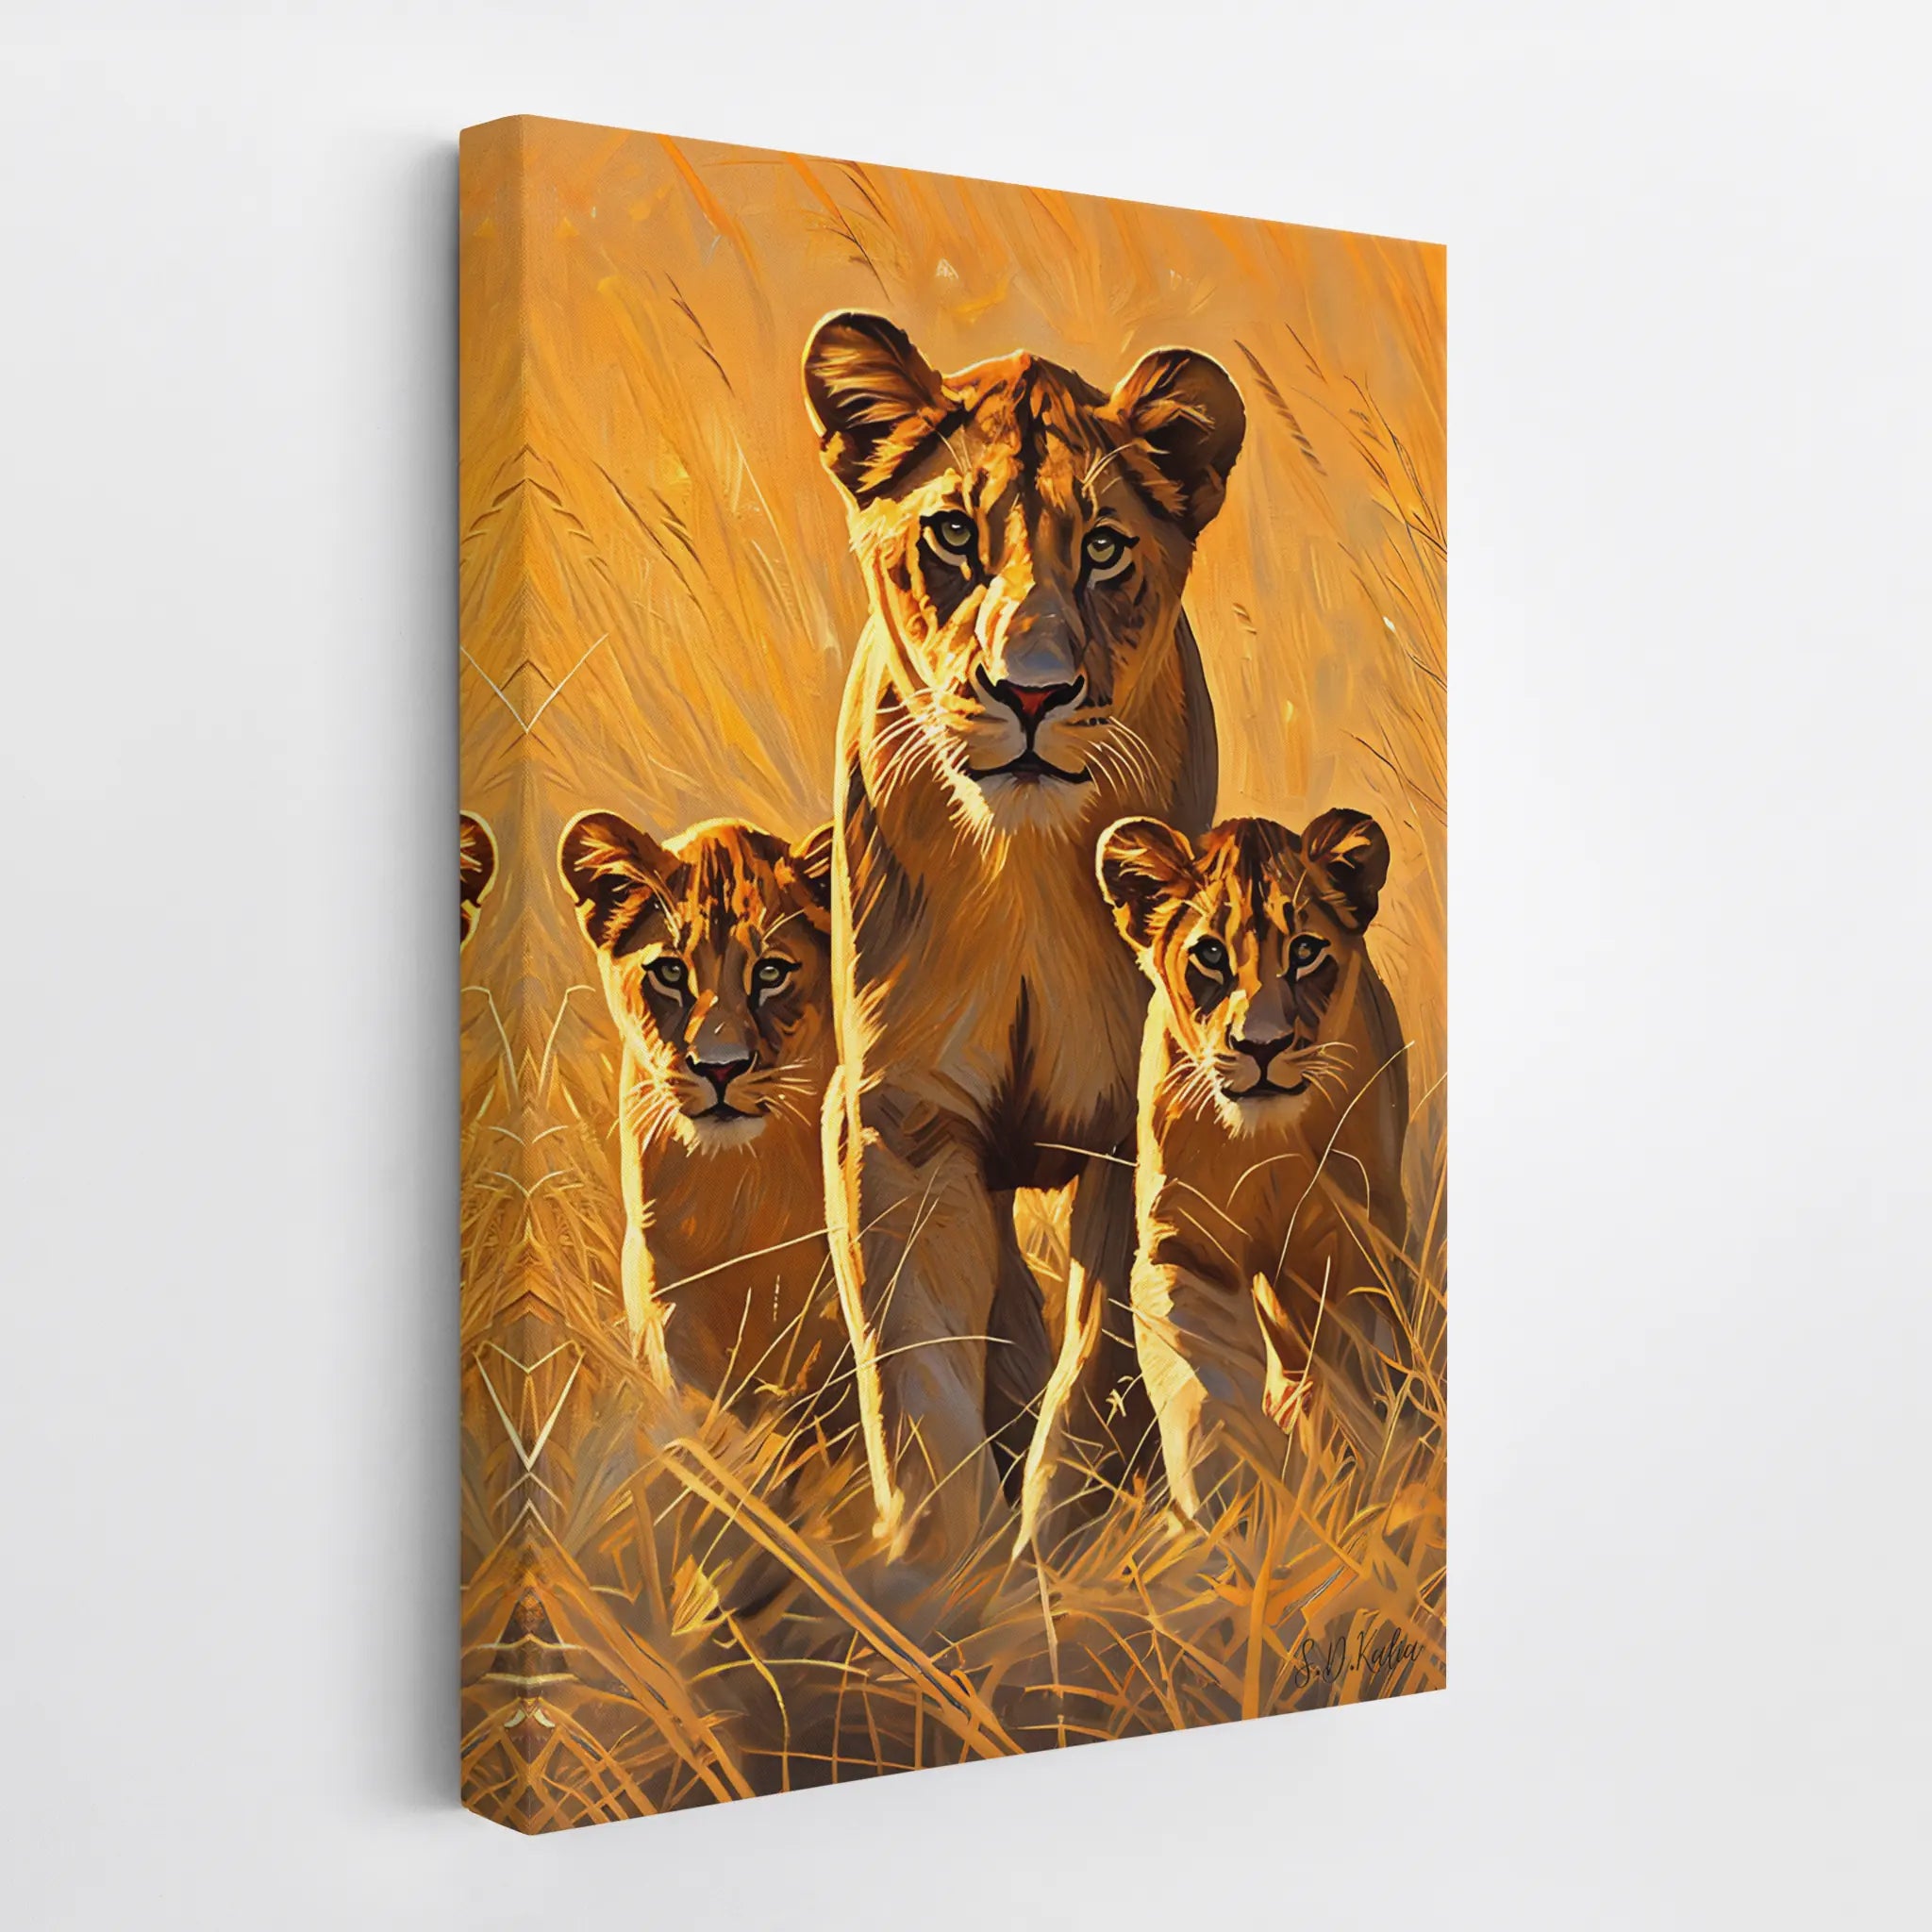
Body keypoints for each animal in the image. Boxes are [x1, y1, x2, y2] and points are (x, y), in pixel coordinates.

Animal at [803, 310, 1246, 1563]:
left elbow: (1101, 1368)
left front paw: (1059, 1552)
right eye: (952, 531)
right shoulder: (897, 1116)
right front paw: (944, 1575)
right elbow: (917, 1371)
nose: (1032, 691)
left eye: (1101, 547)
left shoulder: (1133, 1128)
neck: (1023, 872)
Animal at [1095, 808, 1411, 1521]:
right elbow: (1203, 1386)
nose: (1261, 1046)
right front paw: (1230, 1503)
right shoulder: (1183, 1247)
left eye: (1306, 951)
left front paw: (1352, 1474)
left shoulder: (1348, 1243)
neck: (1265, 1147)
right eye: (1210, 954)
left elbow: (1348, 1367)